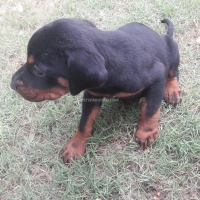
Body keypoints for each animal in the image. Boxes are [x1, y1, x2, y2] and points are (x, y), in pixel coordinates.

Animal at [11, 18, 183, 162]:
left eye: (39, 71)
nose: (11, 83)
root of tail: (163, 35)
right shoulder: (91, 94)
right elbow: (84, 122)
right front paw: (75, 146)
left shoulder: (157, 77)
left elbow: (150, 109)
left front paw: (146, 132)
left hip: (173, 52)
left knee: (173, 73)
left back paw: (172, 91)